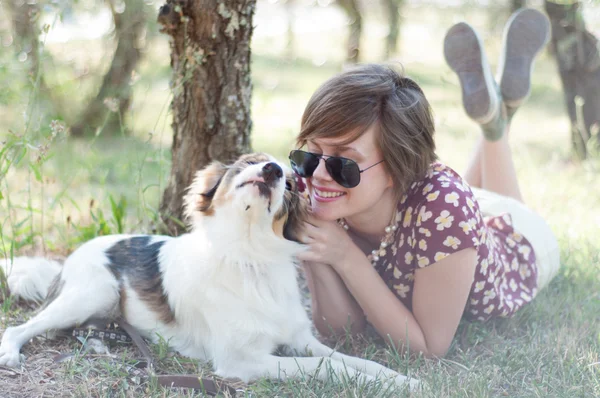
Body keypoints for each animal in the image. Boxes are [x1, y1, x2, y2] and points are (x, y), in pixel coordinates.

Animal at [0, 154, 420, 390]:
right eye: (251, 161)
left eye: (290, 181)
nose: (271, 169)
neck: (250, 258)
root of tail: (69, 258)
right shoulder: (240, 361)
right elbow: (325, 366)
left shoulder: (301, 339)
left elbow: (352, 360)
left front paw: (401, 379)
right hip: (94, 292)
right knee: (22, 327)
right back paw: (11, 352)